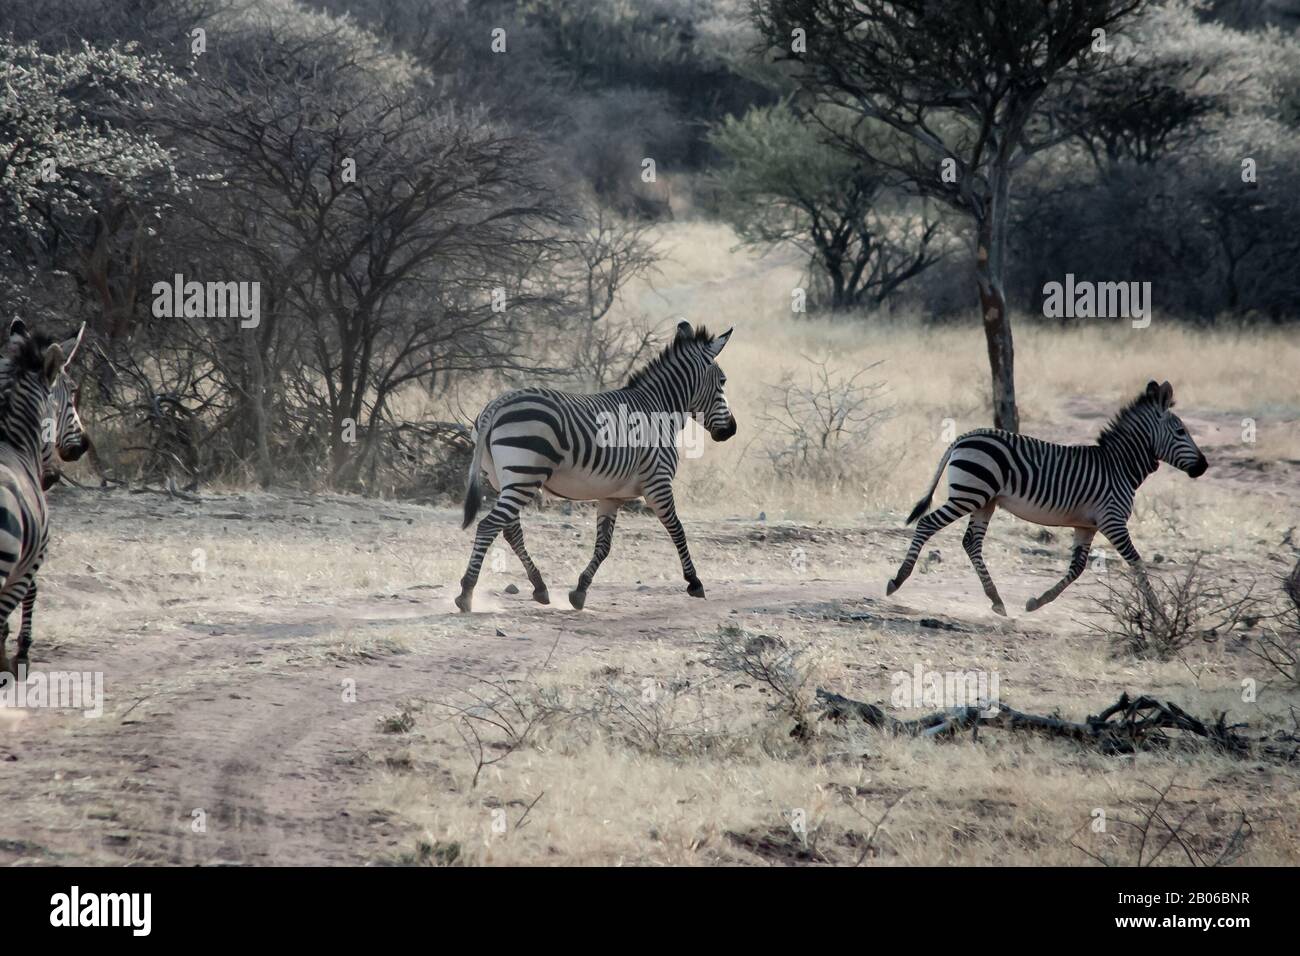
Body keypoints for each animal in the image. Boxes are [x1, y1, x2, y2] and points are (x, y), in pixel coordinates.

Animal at [455, 321, 736, 613]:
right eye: (723, 382)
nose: (731, 430)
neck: (659, 409)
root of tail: (496, 405)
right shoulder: (657, 483)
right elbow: (678, 529)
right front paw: (694, 582)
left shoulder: (611, 495)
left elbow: (603, 545)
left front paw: (580, 591)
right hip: (524, 476)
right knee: (489, 526)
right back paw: (467, 593)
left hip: (504, 479)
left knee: (510, 531)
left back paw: (540, 586)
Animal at [887, 380, 1207, 614]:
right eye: (1181, 431)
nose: (1203, 467)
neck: (1119, 466)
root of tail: (963, 438)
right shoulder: (1113, 521)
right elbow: (1138, 563)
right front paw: (1158, 614)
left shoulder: (1087, 526)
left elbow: (1077, 569)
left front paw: (1035, 603)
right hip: (969, 496)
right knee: (927, 524)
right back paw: (897, 580)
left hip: (985, 501)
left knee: (971, 543)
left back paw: (996, 599)